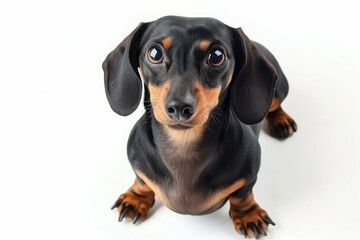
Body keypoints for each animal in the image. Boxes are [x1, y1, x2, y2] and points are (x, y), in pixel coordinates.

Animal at [102, 15, 296, 239]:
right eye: (155, 53)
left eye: (216, 56)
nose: (179, 107)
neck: (183, 143)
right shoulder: (138, 164)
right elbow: (142, 180)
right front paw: (135, 198)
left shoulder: (249, 175)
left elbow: (242, 195)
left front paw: (249, 214)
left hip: (278, 91)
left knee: (276, 105)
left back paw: (281, 121)